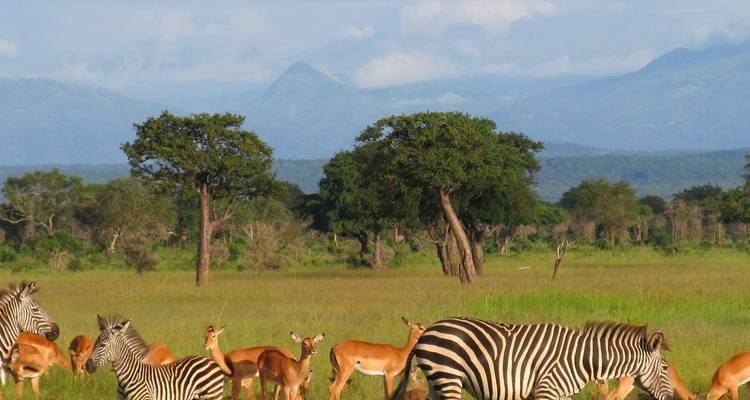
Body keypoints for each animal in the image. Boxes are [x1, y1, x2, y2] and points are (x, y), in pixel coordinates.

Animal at [85, 315, 225, 400]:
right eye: (94, 344)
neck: (129, 376)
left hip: (211, 395)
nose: (87, 366)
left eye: (102, 345)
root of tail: (210, 361)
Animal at [391, 318, 674, 400]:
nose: (672, 399)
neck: (583, 359)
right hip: (448, 376)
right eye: (665, 368)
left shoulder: (560, 395)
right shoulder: (546, 389)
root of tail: (428, 331)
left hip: (435, 380)